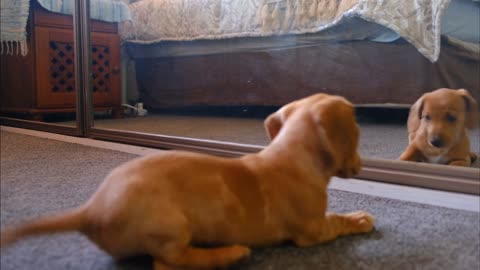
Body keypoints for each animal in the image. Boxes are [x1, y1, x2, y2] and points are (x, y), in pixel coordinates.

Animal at [0, 92, 376, 268]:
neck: (290, 154)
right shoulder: (312, 230)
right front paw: (360, 218)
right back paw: (229, 254)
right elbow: (338, 221)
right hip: (171, 227)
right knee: (168, 263)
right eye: (357, 136)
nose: (360, 165)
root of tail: (91, 209)